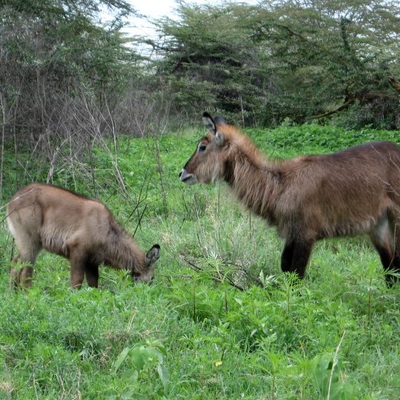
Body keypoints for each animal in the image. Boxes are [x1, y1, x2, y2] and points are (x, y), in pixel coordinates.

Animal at [5, 183, 159, 290]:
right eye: (152, 277)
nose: (148, 291)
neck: (107, 230)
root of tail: (12, 201)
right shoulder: (77, 250)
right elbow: (77, 281)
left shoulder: (92, 261)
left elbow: (93, 284)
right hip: (31, 243)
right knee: (25, 272)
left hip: (28, 244)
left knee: (15, 263)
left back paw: (13, 293)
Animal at [180, 111, 400, 282]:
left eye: (202, 147)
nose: (182, 173)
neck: (280, 185)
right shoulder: (291, 233)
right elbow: (285, 269)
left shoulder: (306, 234)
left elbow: (297, 274)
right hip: (378, 226)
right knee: (391, 268)